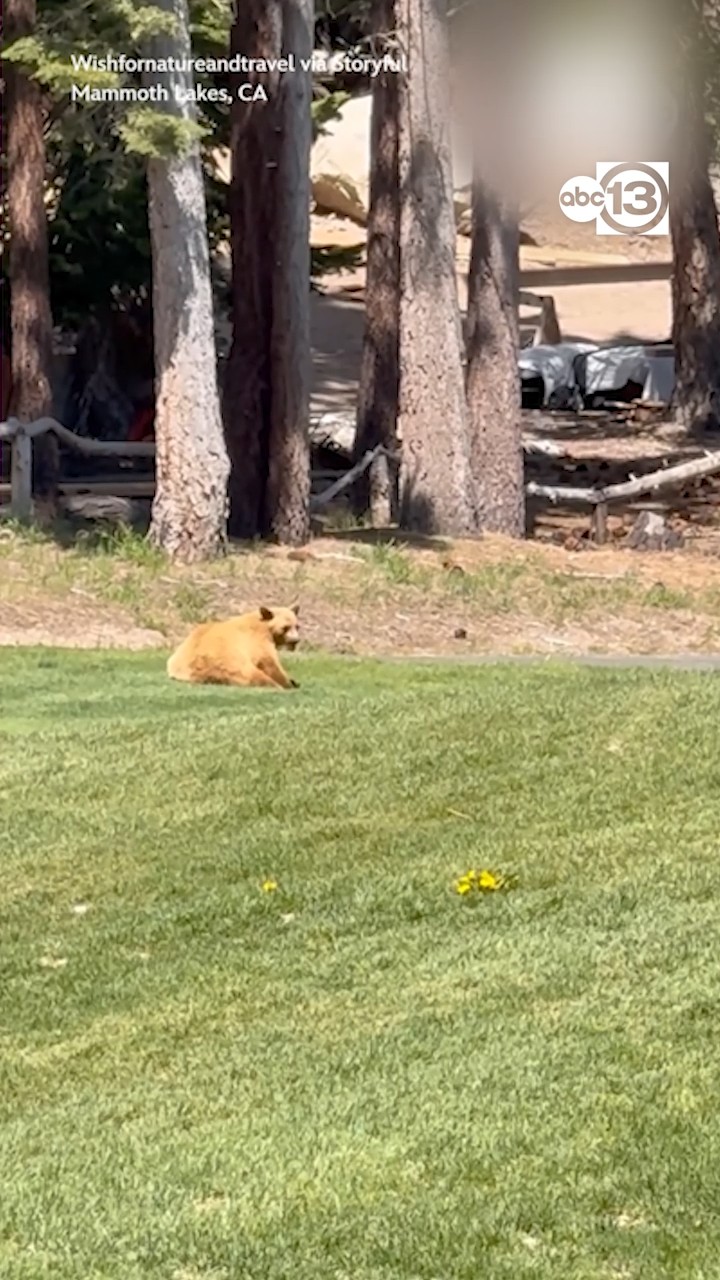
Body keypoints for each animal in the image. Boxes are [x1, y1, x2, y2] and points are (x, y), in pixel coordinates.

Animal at [167, 605, 300, 689]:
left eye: (297, 626)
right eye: (285, 627)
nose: (295, 640)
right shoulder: (258, 641)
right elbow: (269, 662)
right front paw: (288, 682)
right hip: (230, 660)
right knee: (252, 673)